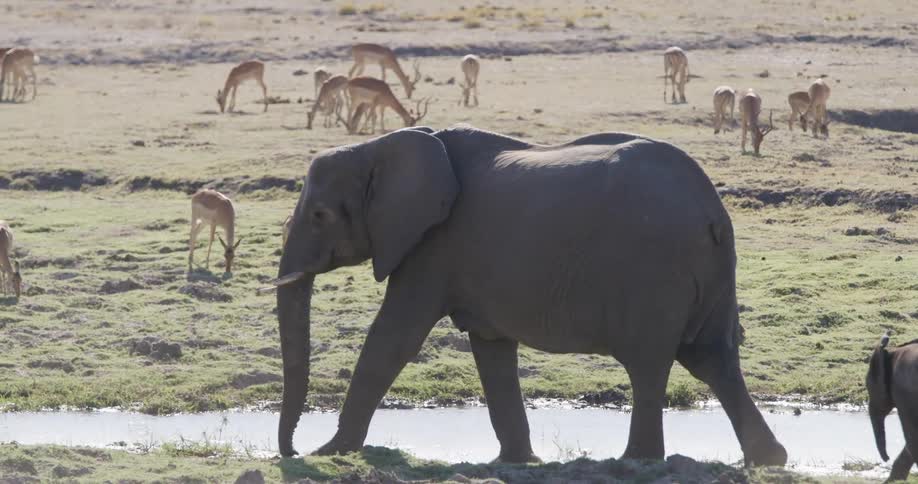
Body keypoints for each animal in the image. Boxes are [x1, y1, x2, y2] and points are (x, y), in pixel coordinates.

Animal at [273, 124, 788, 467]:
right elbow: (492, 350)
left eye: (319, 215)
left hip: (656, 271)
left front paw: (330, 453)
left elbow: (393, 337)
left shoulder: (433, 246)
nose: (290, 451)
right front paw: (516, 463)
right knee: (713, 358)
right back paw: (769, 460)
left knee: (650, 364)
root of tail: (712, 210)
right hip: (710, 269)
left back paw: (636, 462)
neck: (379, 146)